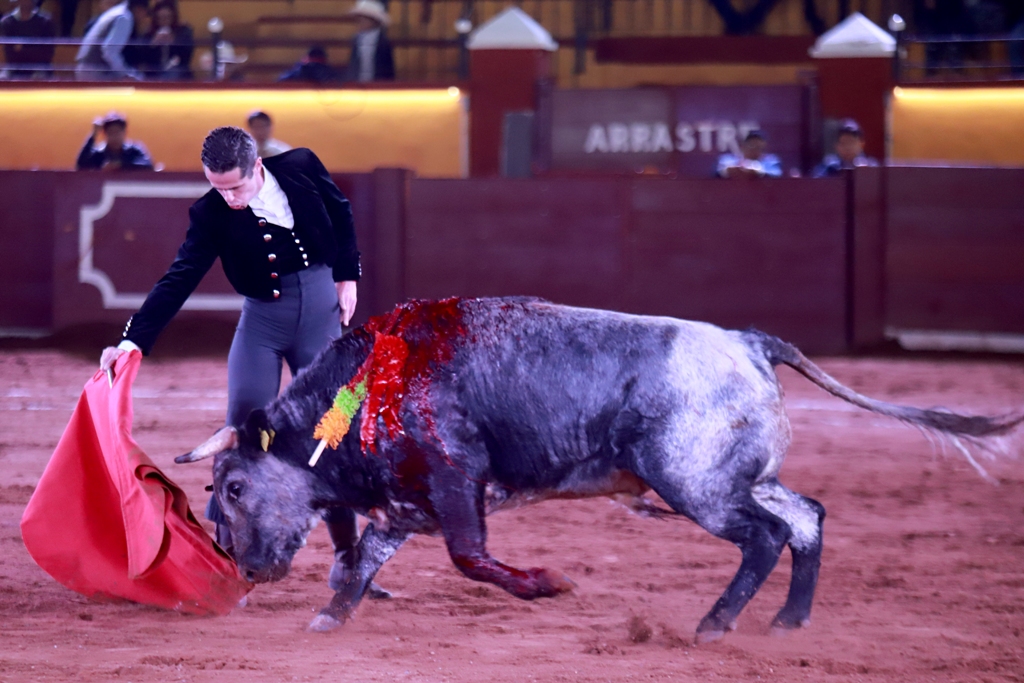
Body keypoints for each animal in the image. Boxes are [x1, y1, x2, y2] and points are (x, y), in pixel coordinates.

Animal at [178, 299, 1024, 643]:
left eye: (235, 487)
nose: (246, 570)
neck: (366, 390)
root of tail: (747, 342)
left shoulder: (456, 478)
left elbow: (470, 557)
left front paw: (548, 584)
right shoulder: (407, 503)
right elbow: (363, 558)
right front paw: (330, 618)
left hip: (696, 485)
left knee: (764, 535)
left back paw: (715, 624)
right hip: (736, 476)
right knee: (806, 516)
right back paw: (787, 621)